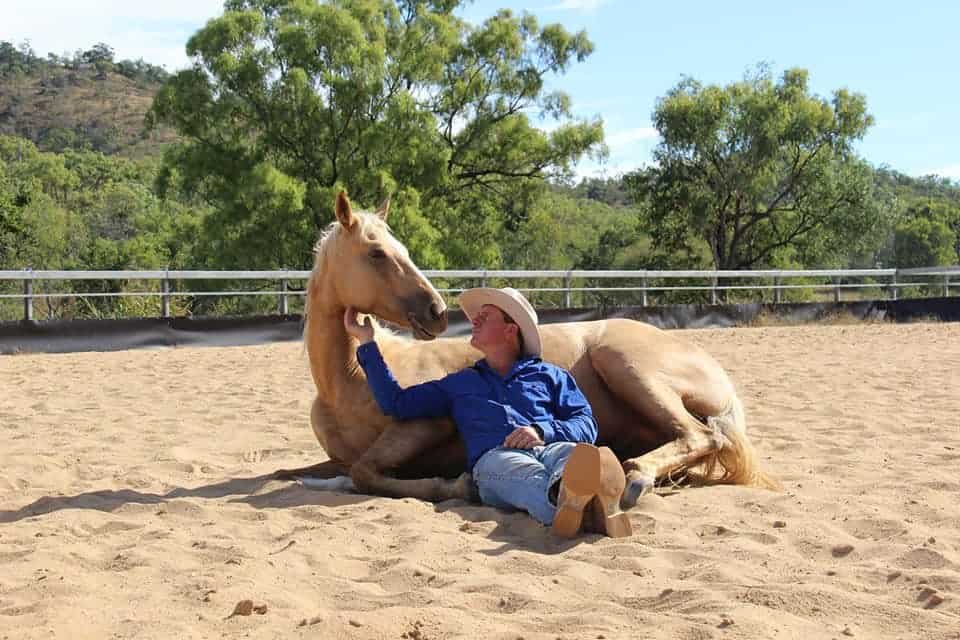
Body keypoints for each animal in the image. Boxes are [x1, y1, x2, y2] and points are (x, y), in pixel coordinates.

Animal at [280, 192, 780, 508]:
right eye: (377, 253)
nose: (436, 311)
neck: (350, 380)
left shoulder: (427, 423)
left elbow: (365, 473)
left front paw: (456, 486)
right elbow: (314, 472)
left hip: (623, 364)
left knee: (700, 435)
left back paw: (635, 476)